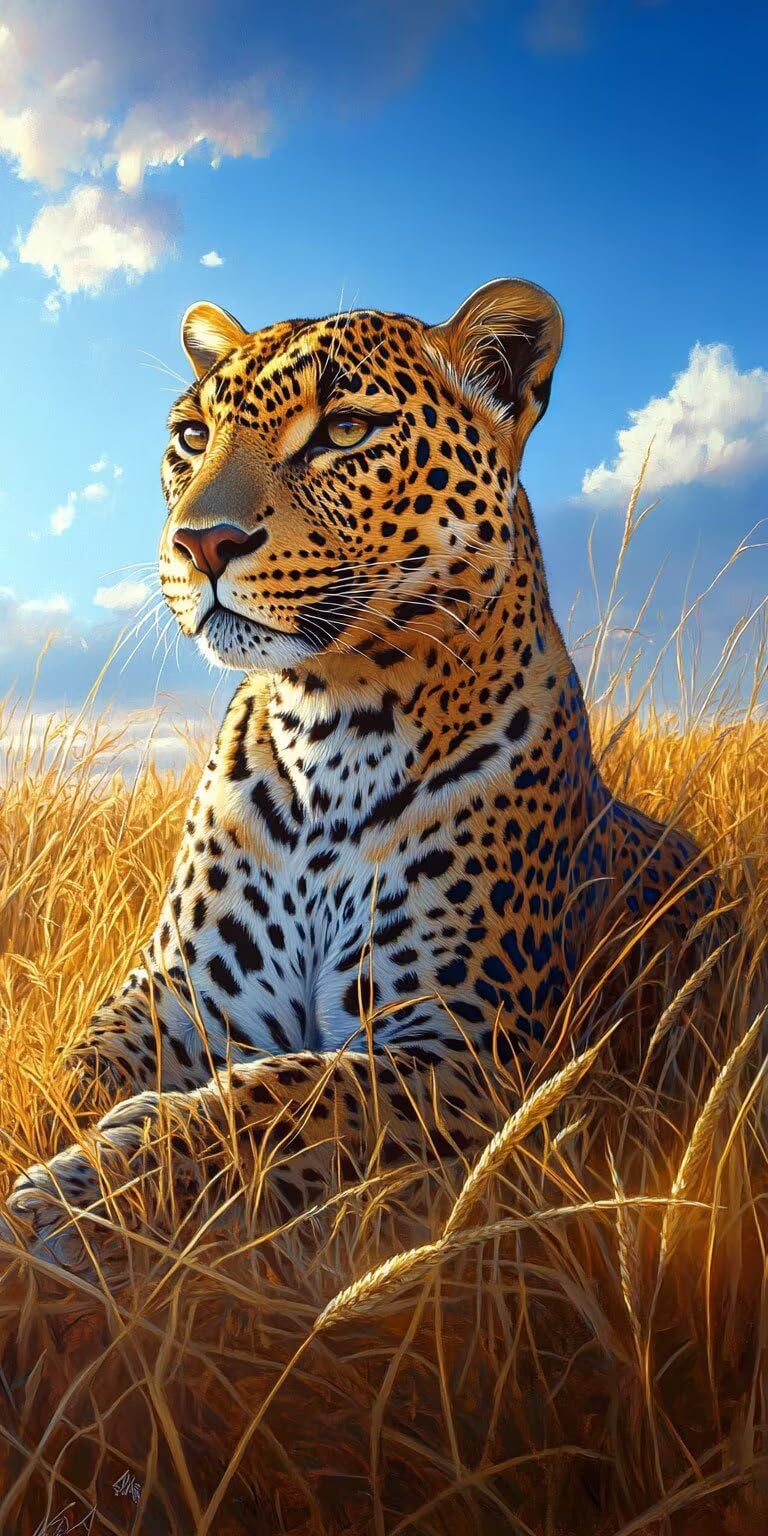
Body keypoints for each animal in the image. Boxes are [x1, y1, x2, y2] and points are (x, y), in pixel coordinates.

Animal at [4, 277, 719, 1272]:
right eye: (191, 435)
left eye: (344, 430)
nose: (200, 544)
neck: (332, 730)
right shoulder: (176, 994)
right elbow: (66, 1071)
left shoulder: (467, 1042)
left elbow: (282, 1100)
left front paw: (78, 1202)